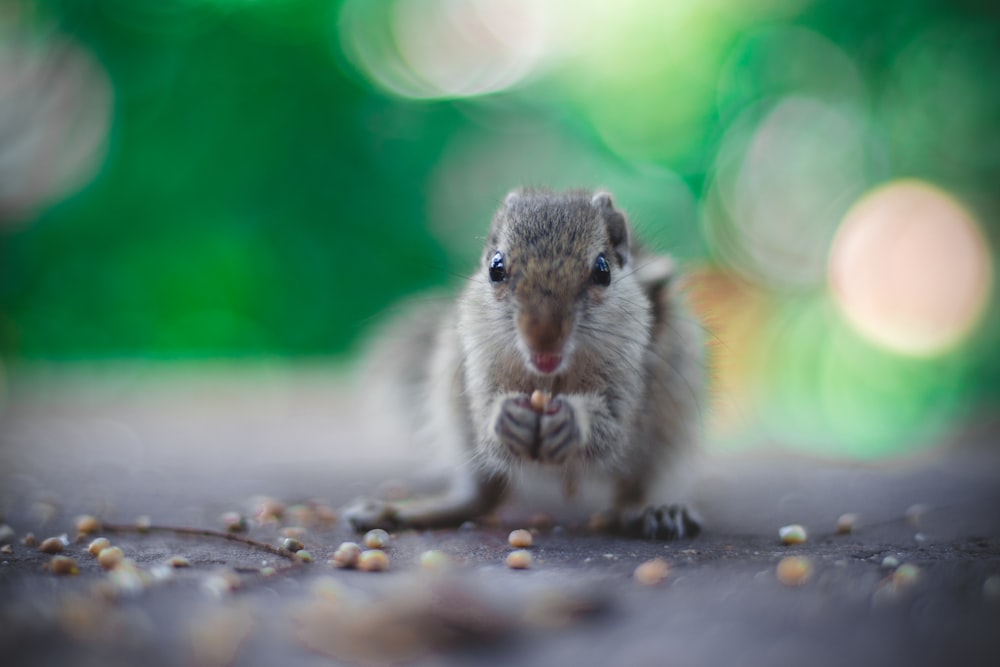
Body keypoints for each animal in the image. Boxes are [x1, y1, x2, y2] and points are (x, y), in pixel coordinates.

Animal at [348, 187, 708, 536]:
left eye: (602, 270)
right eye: (496, 268)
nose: (544, 336)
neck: (550, 379)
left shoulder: (630, 378)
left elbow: (613, 428)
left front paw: (573, 421)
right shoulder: (477, 366)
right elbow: (485, 420)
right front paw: (506, 417)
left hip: (666, 424)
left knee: (636, 489)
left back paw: (656, 511)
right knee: (483, 495)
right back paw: (410, 510)